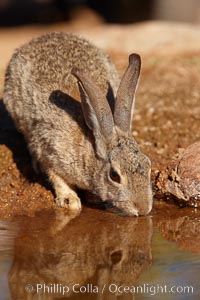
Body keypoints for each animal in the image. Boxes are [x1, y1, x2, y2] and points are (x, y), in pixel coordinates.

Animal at [3, 32, 152, 216]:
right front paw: (70, 200)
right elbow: (56, 176)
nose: (143, 209)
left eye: (148, 165)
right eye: (114, 175)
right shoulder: (50, 150)